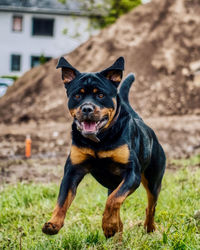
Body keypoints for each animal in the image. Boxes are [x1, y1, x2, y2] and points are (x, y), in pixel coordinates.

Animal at [41, 56, 166, 238]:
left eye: (100, 95)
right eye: (77, 95)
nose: (87, 108)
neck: (99, 140)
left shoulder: (132, 173)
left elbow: (113, 200)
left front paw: (108, 225)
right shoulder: (72, 171)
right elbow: (62, 200)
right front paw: (53, 223)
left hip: (153, 180)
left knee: (150, 206)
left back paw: (149, 229)